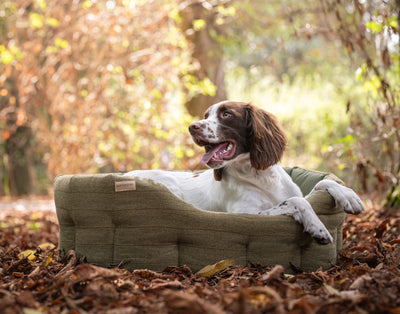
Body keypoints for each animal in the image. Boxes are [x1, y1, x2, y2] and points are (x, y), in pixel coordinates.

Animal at [126, 100, 366, 243]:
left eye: (226, 114)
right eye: (206, 114)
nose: (192, 127)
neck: (258, 176)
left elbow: (321, 183)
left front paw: (349, 196)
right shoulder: (247, 213)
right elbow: (297, 202)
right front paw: (318, 227)